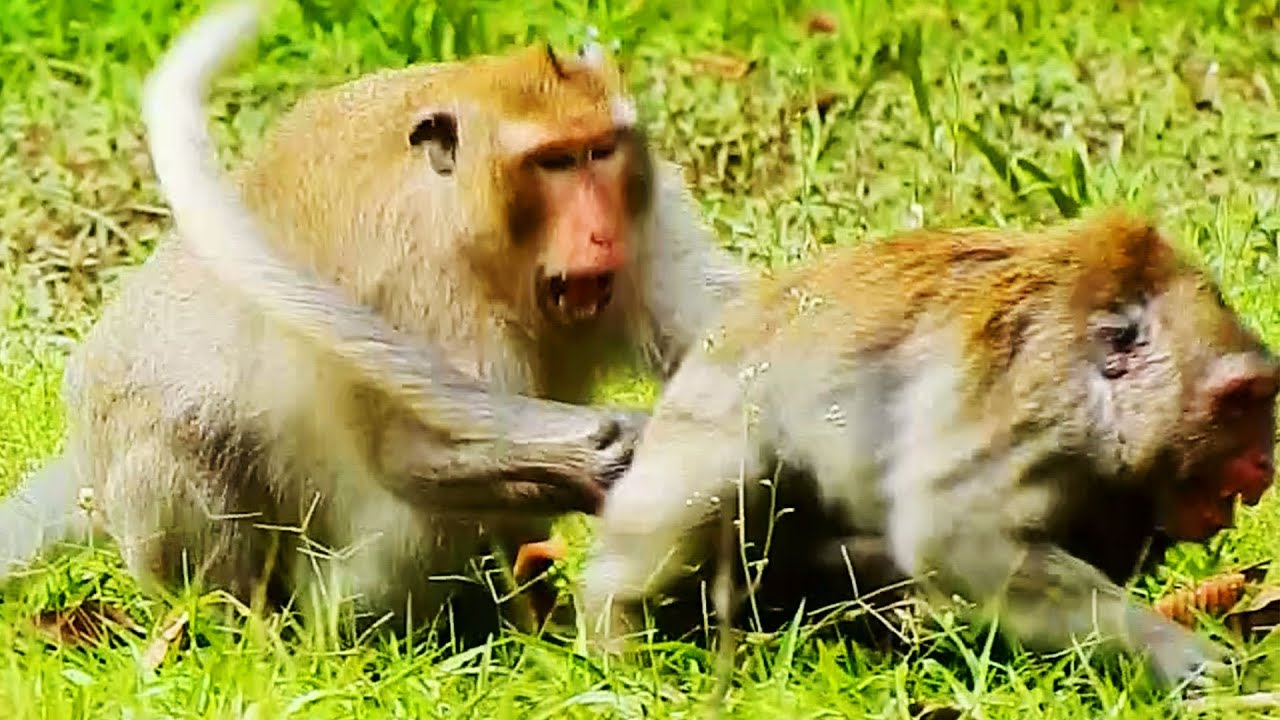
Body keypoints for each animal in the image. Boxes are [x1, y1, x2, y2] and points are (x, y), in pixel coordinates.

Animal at [0, 0, 744, 645]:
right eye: (553, 162)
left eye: (601, 151)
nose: (600, 234)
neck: (483, 236)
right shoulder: (421, 282)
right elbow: (410, 455)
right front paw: (595, 460)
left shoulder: (648, 217)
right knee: (188, 441)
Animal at [579, 210, 1279, 690]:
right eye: (1237, 402)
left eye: (1263, 397)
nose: (1265, 463)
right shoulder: (1035, 417)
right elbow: (953, 534)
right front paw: (1171, 650)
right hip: (706, 427)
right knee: (736, 481)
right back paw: (617, 622)